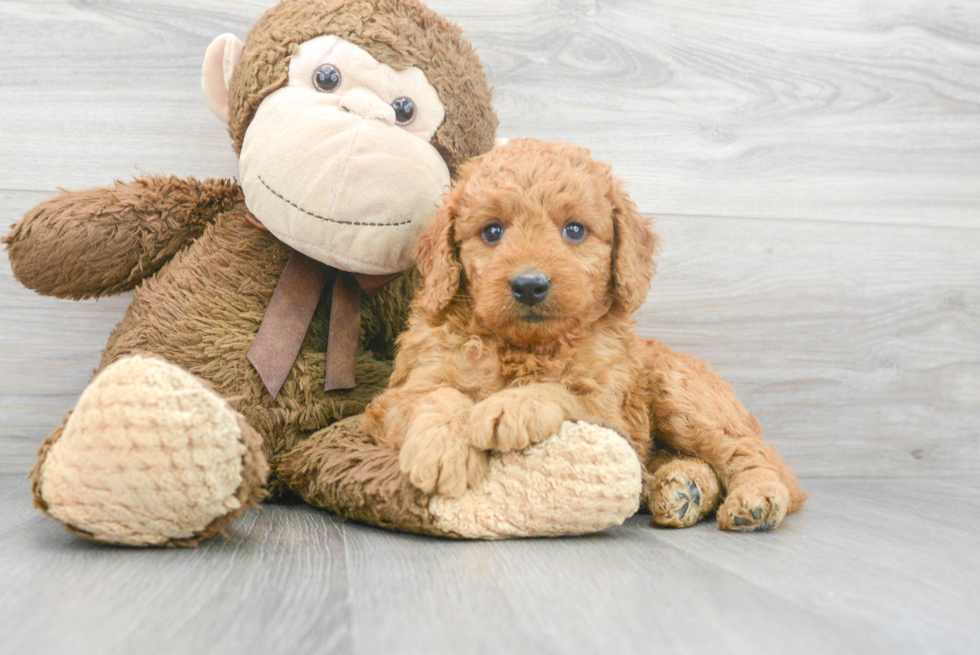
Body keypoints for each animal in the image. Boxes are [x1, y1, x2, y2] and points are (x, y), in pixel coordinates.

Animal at [364, 140, 808, 532]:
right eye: (492, 232)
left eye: (574, 230)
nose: (529, 285)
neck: (524, 347)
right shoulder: (401, 392)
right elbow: (437, 396)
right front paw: (442, 450)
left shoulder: (611, 412)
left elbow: (562, 391)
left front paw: (512, 408)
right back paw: (684, 489)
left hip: (682, 394)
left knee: (753, 455)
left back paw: (756, 500)